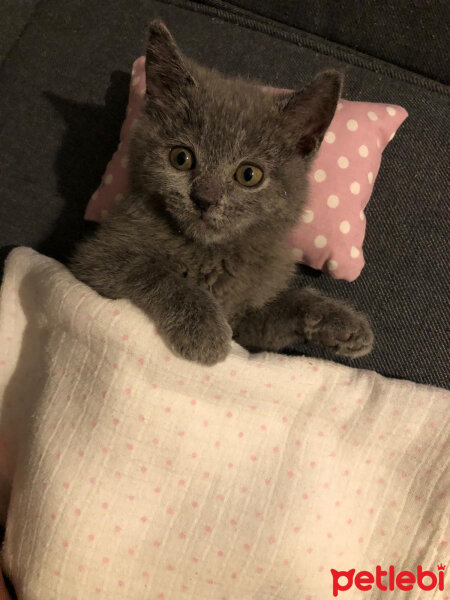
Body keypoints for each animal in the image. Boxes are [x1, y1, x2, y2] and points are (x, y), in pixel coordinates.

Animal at [69, 19, 372, 366]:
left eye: (249, 175)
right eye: (181, 158)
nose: (204, 199)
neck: (210, 252)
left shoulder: (245, 321)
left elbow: (277, 313)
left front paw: (340, 322)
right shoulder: (94, 259)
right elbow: (151, 270)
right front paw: (204, 327)